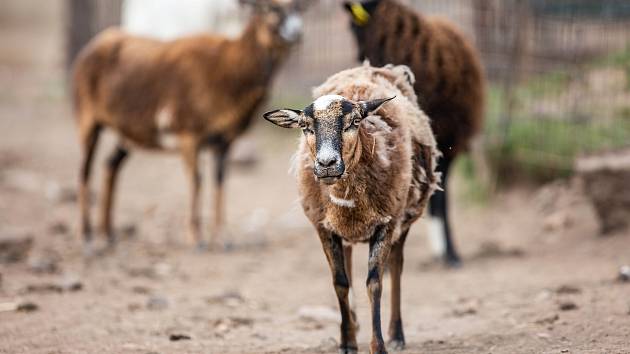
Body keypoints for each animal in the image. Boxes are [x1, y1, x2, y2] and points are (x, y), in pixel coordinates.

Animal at [73, 0, 308, 254]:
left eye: (298, 8)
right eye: (271, 9)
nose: (297, 32)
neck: (227, 69)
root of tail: (90, 49)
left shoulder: (223, 143)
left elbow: (220, 183)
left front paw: (223, 239)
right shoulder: (188, 136)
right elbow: (197, 181)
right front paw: (197, 240)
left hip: (128, 136)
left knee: (110, 166)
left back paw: (108, 235)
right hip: (88, 121)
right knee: (84, 171)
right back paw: (86, 237)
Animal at [262, 64, 440, 354]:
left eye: (354, 122)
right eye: (305, 127)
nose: (327, 164)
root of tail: (371, 67)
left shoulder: (386, 223)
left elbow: (375, 283)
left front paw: (379, 345)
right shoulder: (324, 228)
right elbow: (340, 283)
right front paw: (347, 341)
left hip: (404, 218)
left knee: (397, 267)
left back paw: (396, 334)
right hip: (341, 230)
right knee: (347, 267)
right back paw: (353, 325)